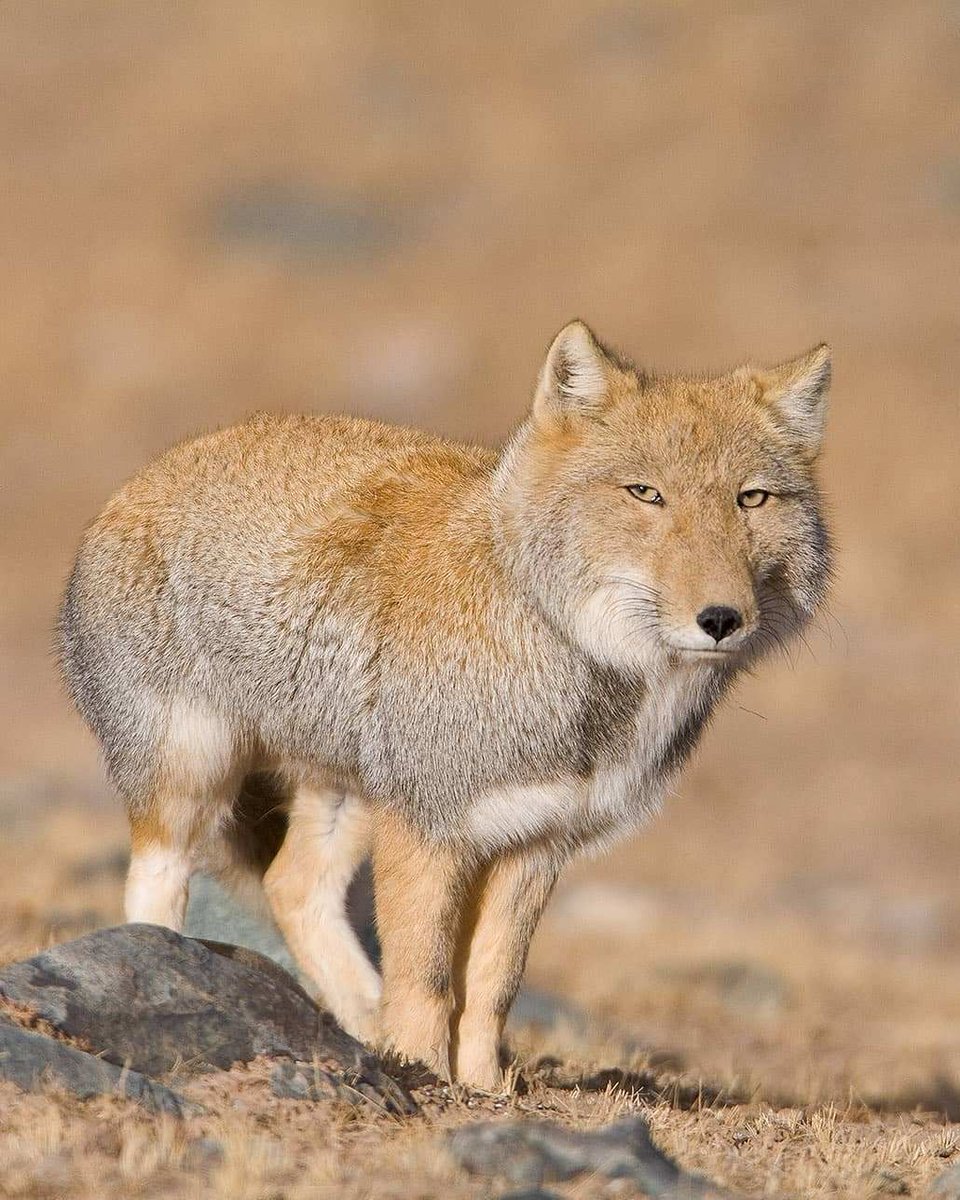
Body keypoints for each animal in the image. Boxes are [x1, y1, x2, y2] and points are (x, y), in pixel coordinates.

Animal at [58, 320, 831, 1092]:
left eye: (752, 499)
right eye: (646, 494)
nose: (722, 619)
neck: (573, 661)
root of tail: (148, 475)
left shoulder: (534, 842)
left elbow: (492, 985)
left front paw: (483, 1086)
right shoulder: (428, 829)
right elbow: (427, 979)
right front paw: (424, 1073)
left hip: (346, 798)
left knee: (292, 887)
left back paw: (363, 1022)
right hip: (192, 781)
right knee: (155, 886)